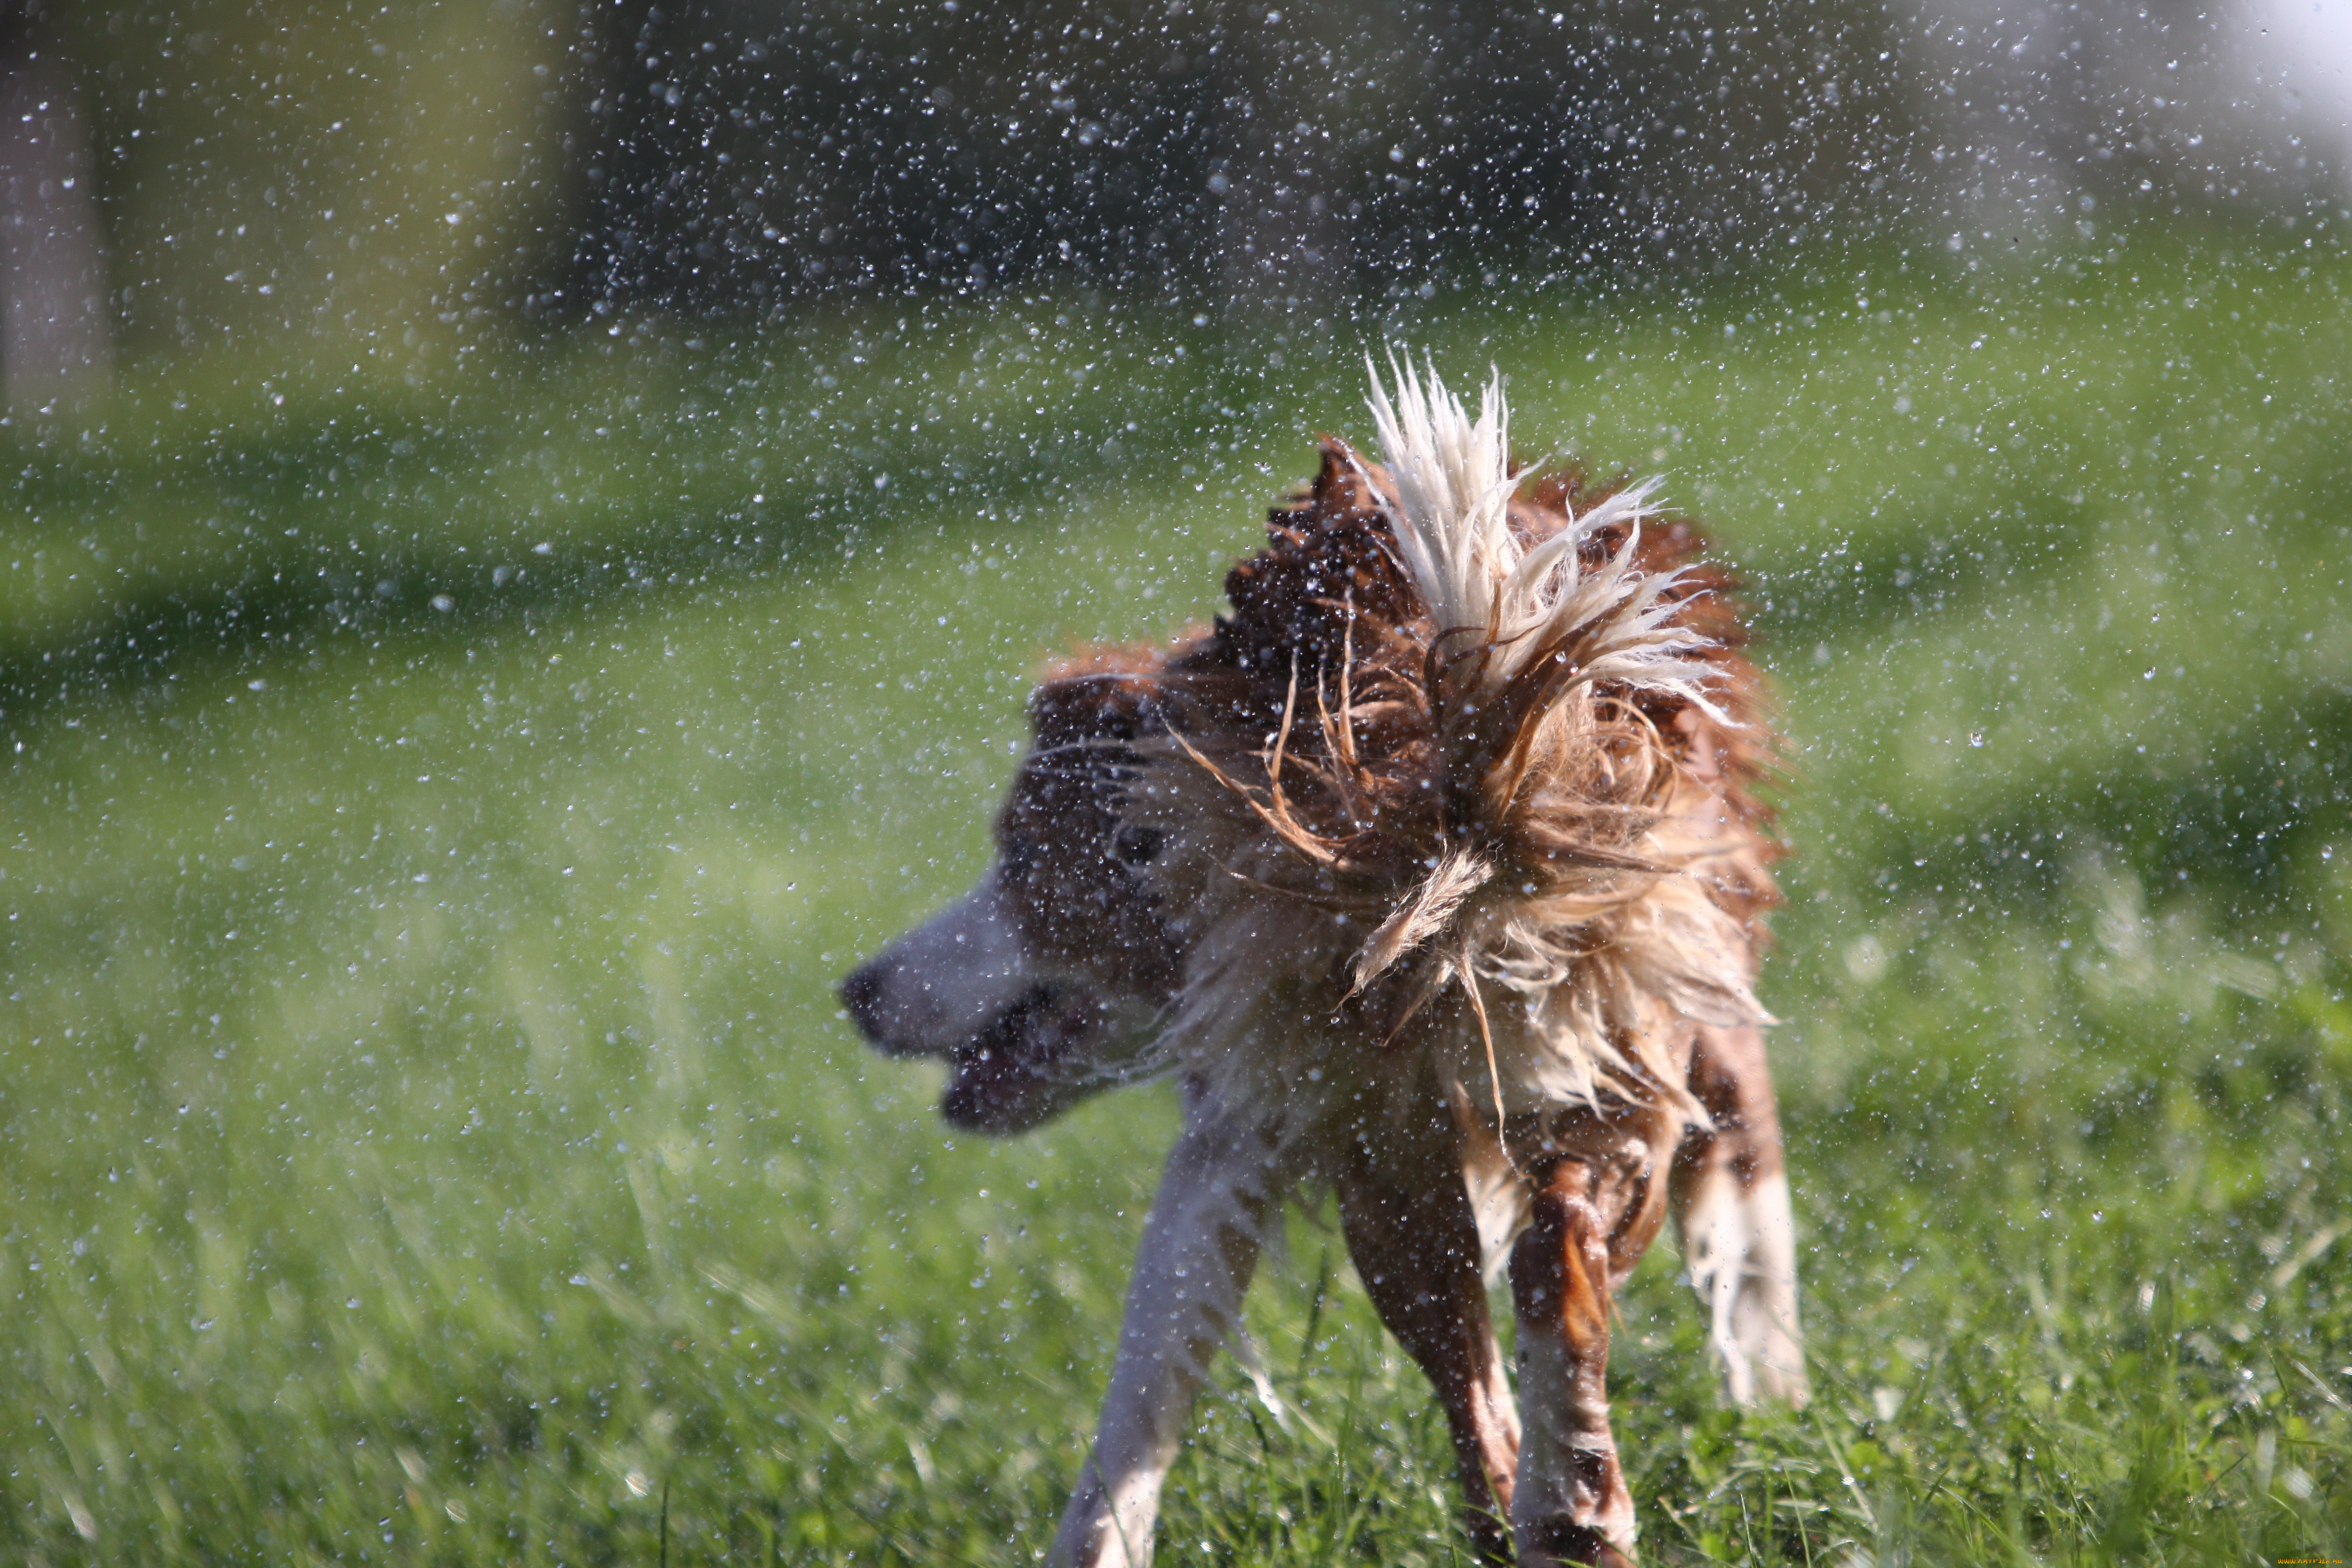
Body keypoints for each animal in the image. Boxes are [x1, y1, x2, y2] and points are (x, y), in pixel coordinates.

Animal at [842, 359, 1797, 1568]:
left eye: (1017, 857)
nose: (857, 991)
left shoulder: (1255, 1111)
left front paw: (1773, 1401)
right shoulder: (1283, 1112)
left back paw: (1567, 1496)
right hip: (1496, 1103)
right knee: (1542, 1279)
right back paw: (1566, 1503)